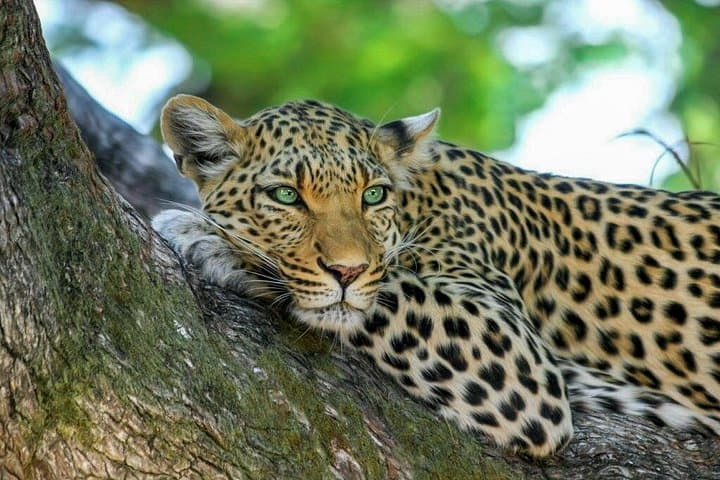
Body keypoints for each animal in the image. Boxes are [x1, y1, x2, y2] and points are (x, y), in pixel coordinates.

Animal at [152, 94, 720, 457]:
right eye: (286, 195)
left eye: (372, 195)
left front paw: (210, 238)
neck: (420, 200)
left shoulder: (515, 354)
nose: (347, 269)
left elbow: (388, 291)